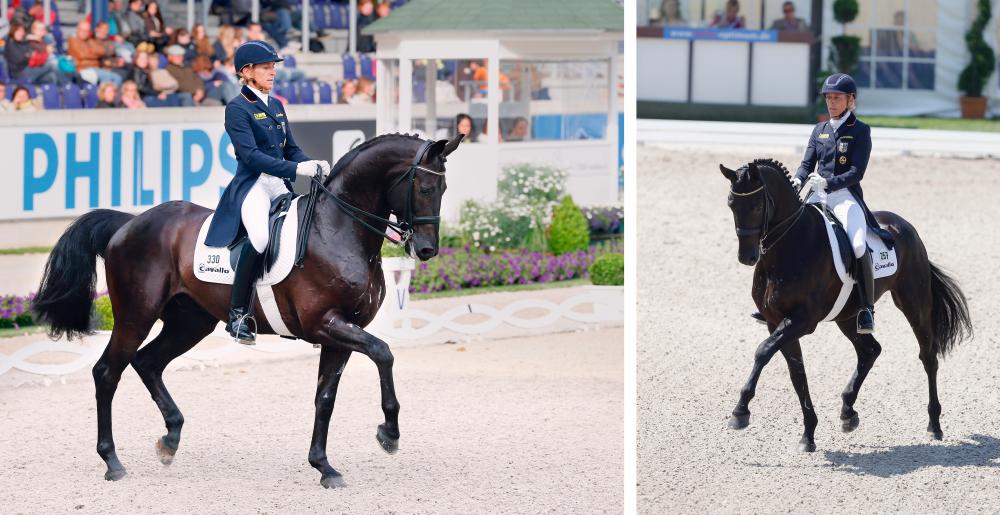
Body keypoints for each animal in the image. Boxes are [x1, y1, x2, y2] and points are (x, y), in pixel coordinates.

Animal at [34, 133, 464, 488]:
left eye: (444, 187)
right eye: (425, 186)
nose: (426, 249)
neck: (339, 229)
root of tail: (131, 222)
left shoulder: (340, 333)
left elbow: (325, 397)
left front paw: (324, 467)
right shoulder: (326, 325)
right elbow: (383, 353)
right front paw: (388, 433)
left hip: (190, 321)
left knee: (148, 363)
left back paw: (170, 439)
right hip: (136, 315)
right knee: (108, 372)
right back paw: (112, 462)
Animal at [720, 160, 968, 452]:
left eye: (756, 206)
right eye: (731, 204)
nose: (747, 257)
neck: (790, 246)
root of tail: (905, 226)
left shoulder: (801, 321)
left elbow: (763, 352)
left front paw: (740, 412)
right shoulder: (775, 321)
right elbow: (797, 373)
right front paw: (808, 434)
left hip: (914, 303)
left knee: (928, 356)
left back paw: (934, 425)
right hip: (849, 316)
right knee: (870, 350)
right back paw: (848, 412)